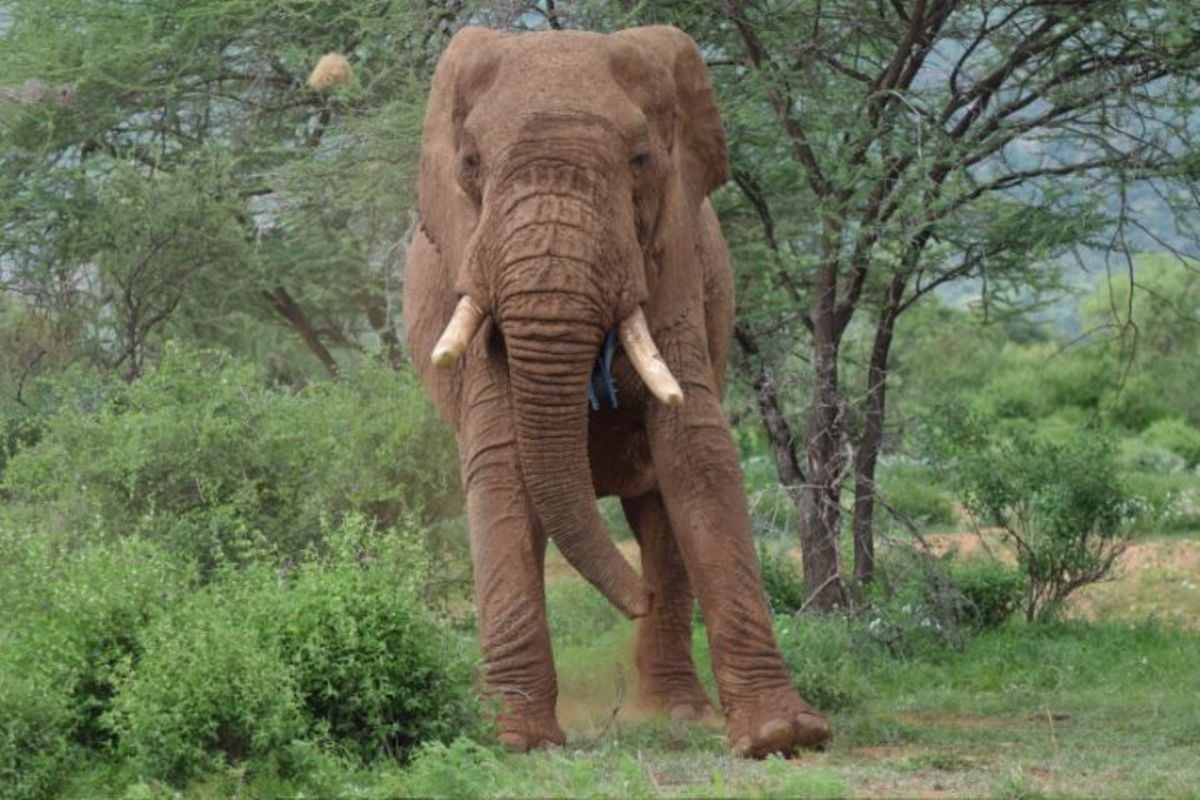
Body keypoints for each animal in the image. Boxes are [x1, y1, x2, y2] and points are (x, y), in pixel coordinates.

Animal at [405, 23, 835, 758]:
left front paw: (784, 735)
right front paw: (514, 740)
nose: (635, 599)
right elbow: (501, 462)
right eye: (469, 162)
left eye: (640, 160)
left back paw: (676, 713)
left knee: (659, 517)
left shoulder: (675, 258)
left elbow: (698, 454)